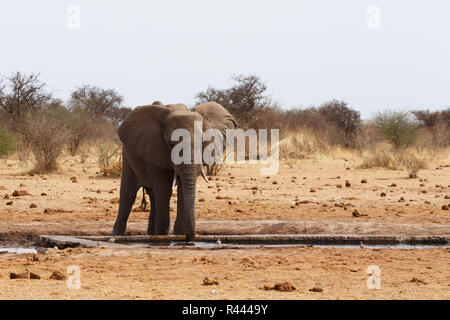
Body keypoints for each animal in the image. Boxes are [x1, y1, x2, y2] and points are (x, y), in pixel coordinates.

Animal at [112, 100, 237, 240]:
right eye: (171, 144)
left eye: (201, 143)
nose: (190, 239)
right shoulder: (155, 149)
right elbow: (164, 189)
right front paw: (164, 235)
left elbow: (181, 188)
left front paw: (179, 234)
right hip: (127, 154)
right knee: (128, 193)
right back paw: (117, 235)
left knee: (152, 195)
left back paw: (151, 234)